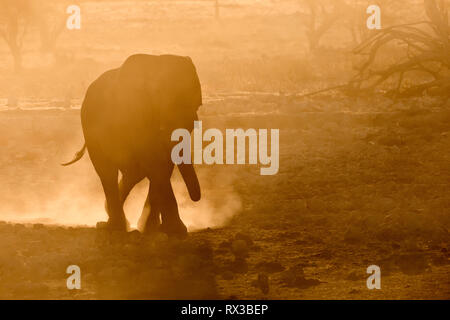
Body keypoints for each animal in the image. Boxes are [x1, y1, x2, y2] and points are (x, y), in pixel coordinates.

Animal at [62, 53, 203, 236]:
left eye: (198, 106)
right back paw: (115, 226)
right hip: (89, 128)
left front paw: (153, 229)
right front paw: (175, 230)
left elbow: (163, 163)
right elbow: (155, 163)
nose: (196, 198)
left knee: (134, 173)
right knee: (107, 172)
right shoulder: (135, 114)